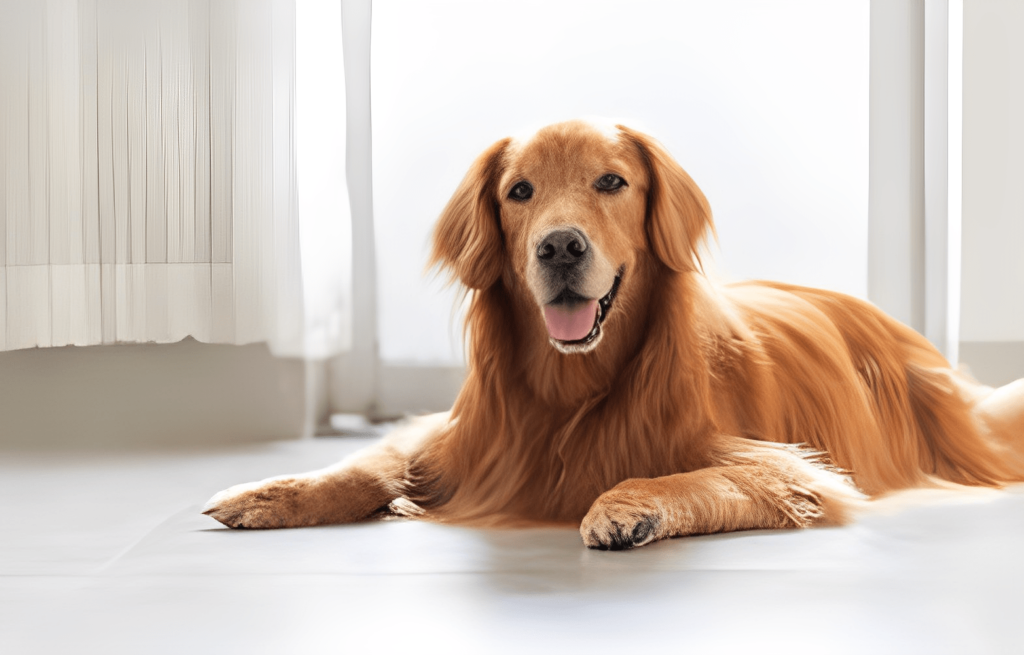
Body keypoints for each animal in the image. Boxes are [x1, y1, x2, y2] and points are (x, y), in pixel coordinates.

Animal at [203, 120, 1024, 548]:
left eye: (611, 182)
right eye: (519, 191)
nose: (560, 247)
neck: (573, 390)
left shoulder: (797, 470)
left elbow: (698, 475)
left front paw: (626, 506)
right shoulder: (453, 435)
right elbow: (369, 464)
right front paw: (274, 490)